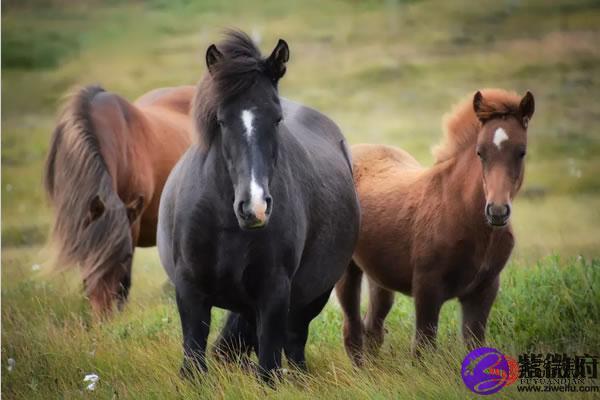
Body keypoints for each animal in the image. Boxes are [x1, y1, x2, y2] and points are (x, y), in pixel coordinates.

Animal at [157, 32, 358, 382]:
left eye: (277, 119)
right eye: (221, 120)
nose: (255, 208)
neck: (225, 223)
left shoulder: (274, 293)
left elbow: (268, 368)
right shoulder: (190, 291)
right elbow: (194, 360)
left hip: (311, 297)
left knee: (294, 343)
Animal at [336, 89, 536, 364]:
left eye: (522, 152)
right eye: (480, 152)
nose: (497, 212)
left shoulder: (484, 290)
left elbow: (474, 345)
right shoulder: (427, 287)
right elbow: (423, 348)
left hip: (379, 275)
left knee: (372, 328)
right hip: (347, 270)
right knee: (353, 330)